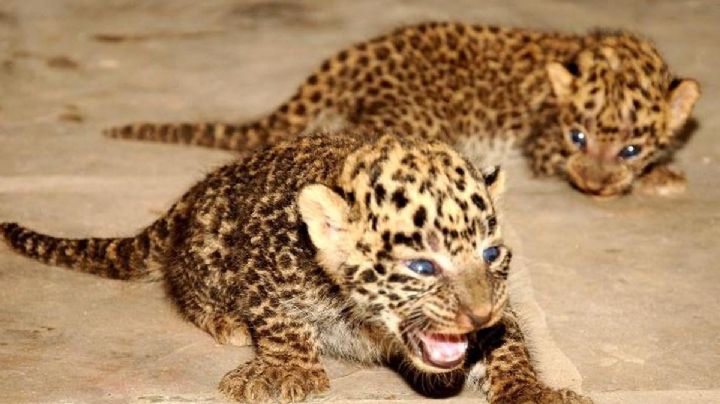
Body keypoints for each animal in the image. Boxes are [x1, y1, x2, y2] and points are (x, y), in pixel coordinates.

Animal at [0, 133, 591, 403]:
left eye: (491, 254)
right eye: (422, 265)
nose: (477, 313)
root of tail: (200, 187)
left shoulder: (502, 307)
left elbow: (511, 340)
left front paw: (530, 389)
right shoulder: (262, 263)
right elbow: (282, 323)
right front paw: (286, 370)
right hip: (208, 243)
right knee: (183, 284)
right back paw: (226, 321)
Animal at [106, 22, 700, 197]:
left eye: (630, 147)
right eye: (578, 138)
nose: (596, 188)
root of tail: (352, 57)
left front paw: (658, 169)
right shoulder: (544, 146)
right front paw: (657, 177)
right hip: (414, 118)